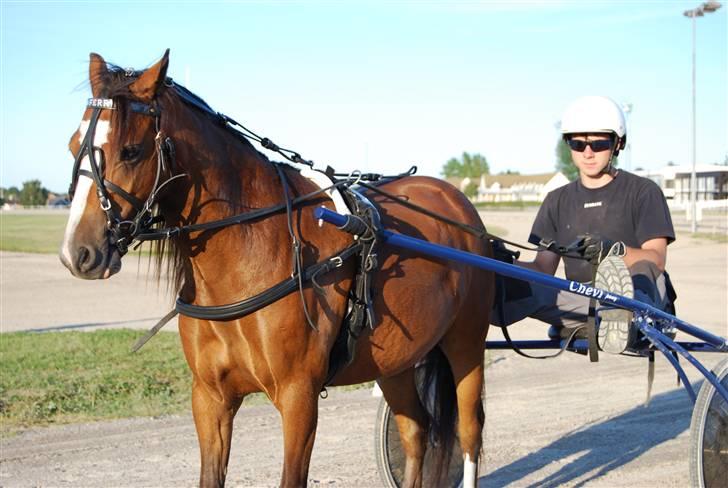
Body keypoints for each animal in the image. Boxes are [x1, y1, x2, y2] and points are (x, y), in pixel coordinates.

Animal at [61, 50, 494, 488]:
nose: (78, 252)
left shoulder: (298, 396)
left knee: (469, 430)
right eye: (73, 145)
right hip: (397, 361)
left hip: (466, 343)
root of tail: (456, 201)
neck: (247, 260)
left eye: (131, 150)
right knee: (415, 430)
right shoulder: (209, 397)